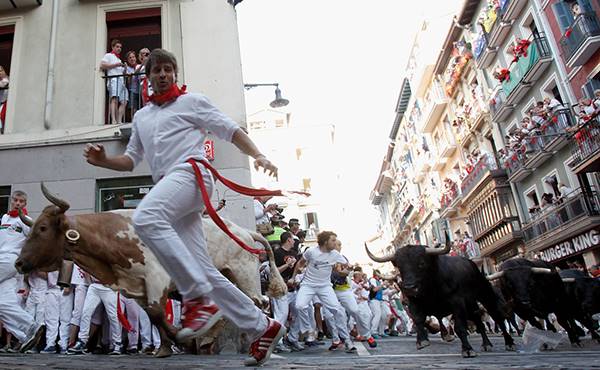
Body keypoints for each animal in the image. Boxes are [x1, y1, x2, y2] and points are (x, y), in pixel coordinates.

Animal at [14, 184, 286, 356]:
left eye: (43, 228)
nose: (18, 263)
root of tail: (245, 232)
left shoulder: (158, 278)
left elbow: (157, 313)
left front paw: (179, 339)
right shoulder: (138, 287)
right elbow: (155, 317)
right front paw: (165, 348)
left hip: (245, 274)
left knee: (258, 302)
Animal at [366, 241, 516, 356]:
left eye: (421, 263)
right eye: (399, 266)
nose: (409, 288)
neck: (431, 289)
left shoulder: (457, 303)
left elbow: (459, 327)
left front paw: (467, 349)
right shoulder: (414, 303)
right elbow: (419, 320)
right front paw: (422, 341)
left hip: (485, 295)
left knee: (497, 318)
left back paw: (508, 342)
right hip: (471, 304)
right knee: (478, 321)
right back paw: (486, 344)